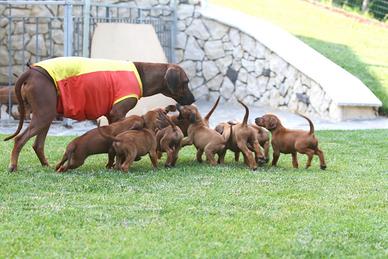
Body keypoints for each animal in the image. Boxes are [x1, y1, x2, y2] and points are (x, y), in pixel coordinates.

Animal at [4, 59, 196, 173]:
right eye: (186, 82)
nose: (194, 99)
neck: (141, 74)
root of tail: (31, 71)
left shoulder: (112, 116)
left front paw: (111, 163)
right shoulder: (118, 113)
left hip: (47, 114)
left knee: (37, 144)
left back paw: (47, 165)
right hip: (43, 114)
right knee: (20, 140)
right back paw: (13, 166)